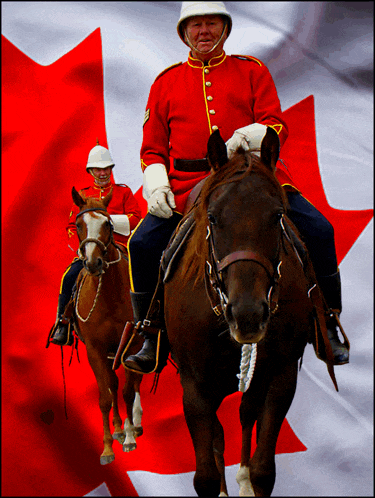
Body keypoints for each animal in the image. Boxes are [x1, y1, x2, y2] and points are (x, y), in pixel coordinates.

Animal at [69, 187, 144, 462]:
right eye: (78, 225)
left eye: (107, 224)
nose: (93, 263)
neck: (108, 295)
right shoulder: (95, 350)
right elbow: (104, 396)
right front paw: (107, 447)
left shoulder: (132, 346)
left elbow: (128, 391)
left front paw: (130, 438)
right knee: (112, 384)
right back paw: (118, 428)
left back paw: (133, 425)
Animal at [164, 129, 326, 498]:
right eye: (212, 217)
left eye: (278, 215)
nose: (248, 314)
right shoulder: (194, 385)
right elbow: (206, 476)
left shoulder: (281, 376)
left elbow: (263, 470)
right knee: (221, 433)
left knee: (245, 416)